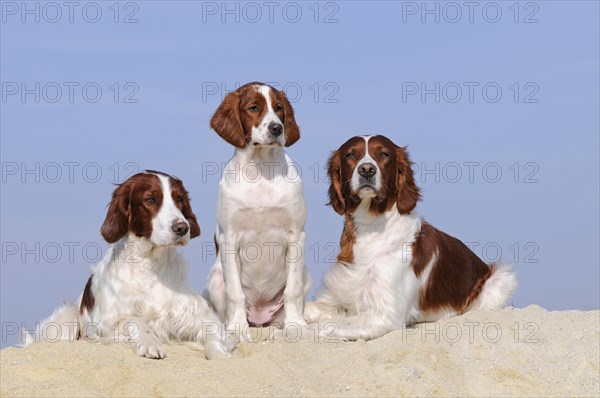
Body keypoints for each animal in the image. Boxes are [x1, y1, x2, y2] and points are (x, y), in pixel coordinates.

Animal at [25, 169, 232, 360]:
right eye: (150, 199)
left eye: (179, 198)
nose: (182, 228)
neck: (152, 267)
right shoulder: (104, 326)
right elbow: (134, 319)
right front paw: (150, 343)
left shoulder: (204, 317)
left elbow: (214, 336)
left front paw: (220, 354)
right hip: (66, 317)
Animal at [304, 136, 516, 338]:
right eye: (350, 155)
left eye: (384, 154)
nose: (367, 170)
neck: (370, 227)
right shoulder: (334, 295)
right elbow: (309, 309)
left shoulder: (386, 315)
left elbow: (329, 325)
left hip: (501, 278)